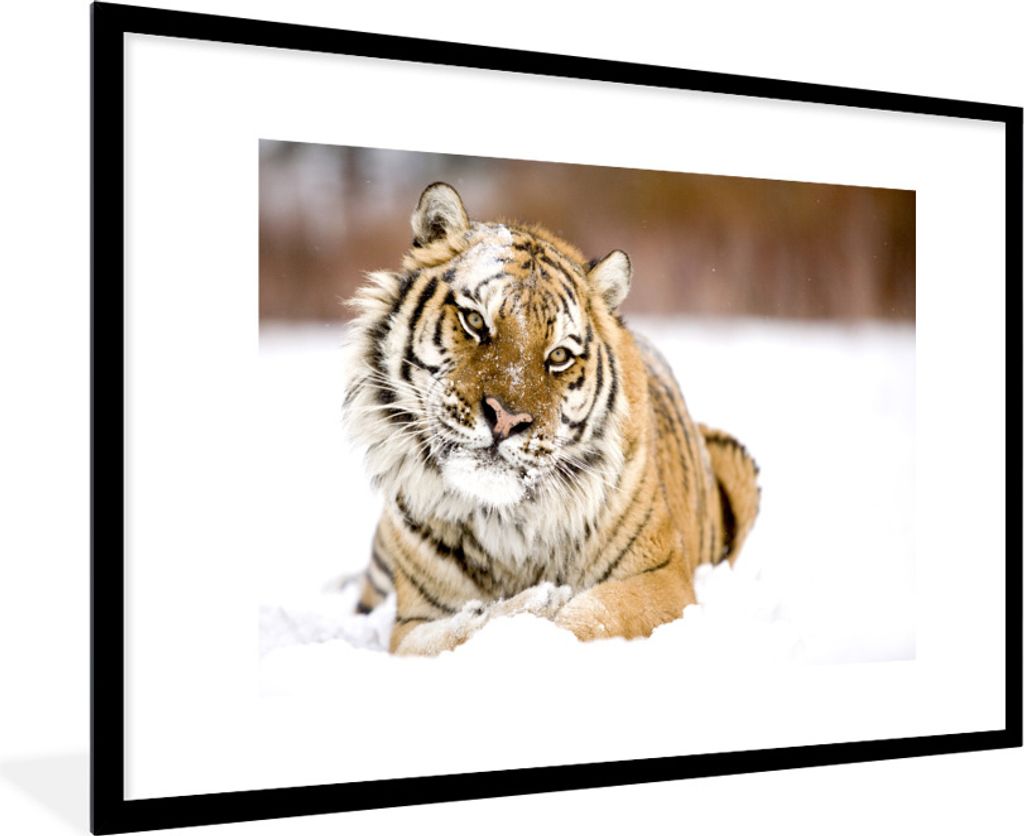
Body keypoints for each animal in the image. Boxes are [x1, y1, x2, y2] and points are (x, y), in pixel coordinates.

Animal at [342, 182, 760, 656]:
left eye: (559, 355)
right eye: (474, 320)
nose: (506, 419)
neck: (503, 524)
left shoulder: (661, 579)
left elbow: (589, 616)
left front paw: (544, 609)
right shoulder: (412, 623)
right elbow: (455, 633)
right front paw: (530, 604)